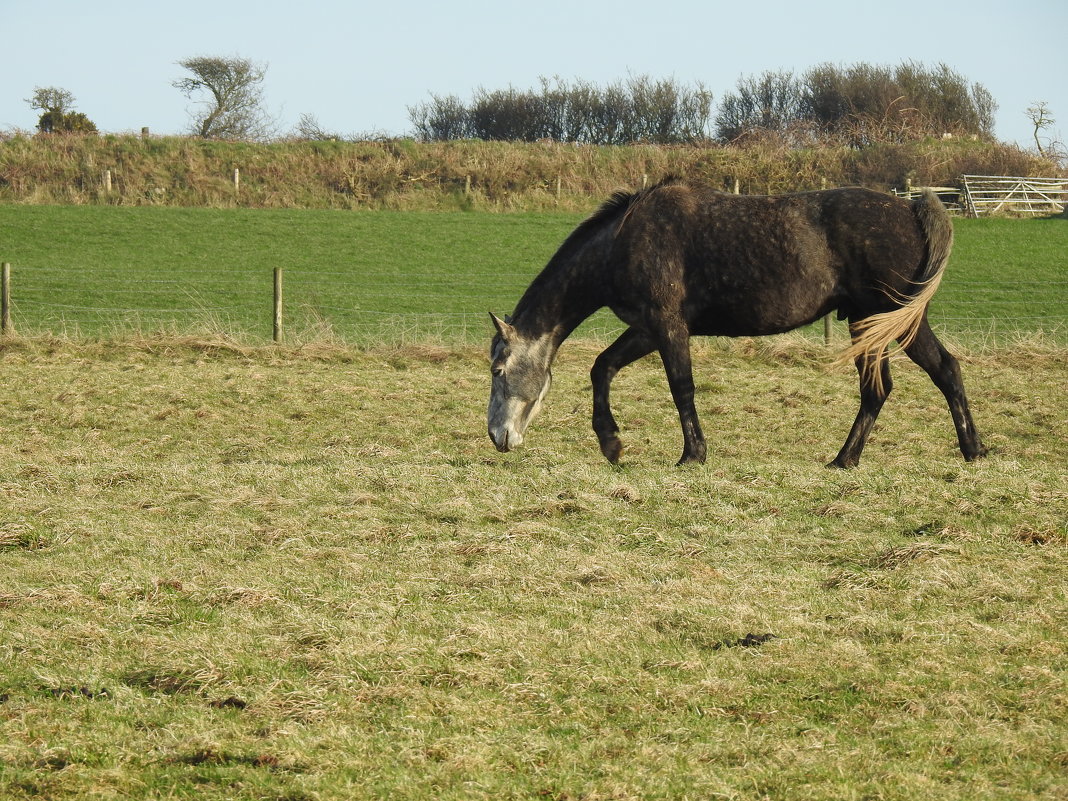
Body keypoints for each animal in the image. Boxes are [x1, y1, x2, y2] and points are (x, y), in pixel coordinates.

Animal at [489, 174, 986, 463]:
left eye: (498, 370)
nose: (497, 436)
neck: (623, 239)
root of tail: (910, 209)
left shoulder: (668, 325)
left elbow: (681, 387)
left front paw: (692, 455)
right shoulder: (647, 328)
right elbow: (602, 367)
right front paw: (611, 444)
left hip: (886, 320)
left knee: (926, 375)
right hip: (871, 324)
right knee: (899, 383)